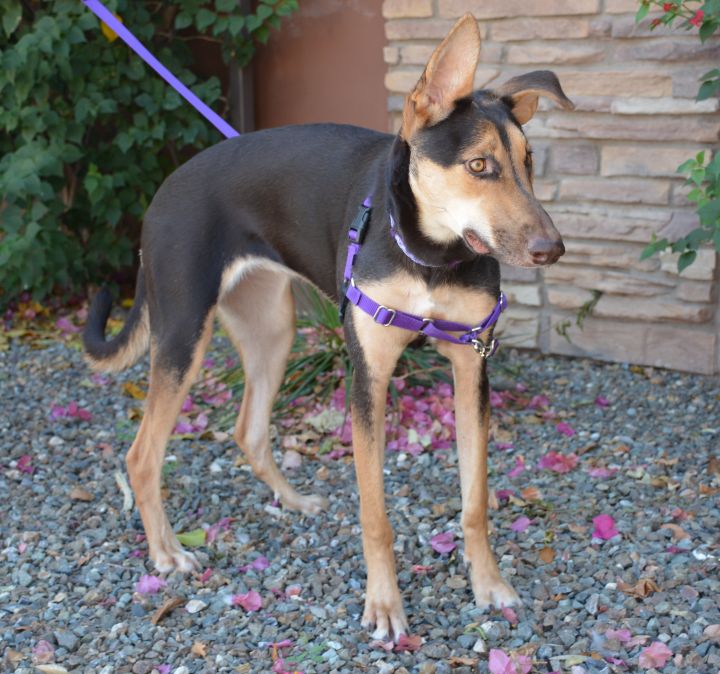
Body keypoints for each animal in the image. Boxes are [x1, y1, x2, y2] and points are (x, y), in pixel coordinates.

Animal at [81, 13, 572, 636]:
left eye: (528, 162)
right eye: (479, 165)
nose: (552, 249)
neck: (428, 256)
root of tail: (164, 188)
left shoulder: (471, 367)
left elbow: (476, 501)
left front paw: (488, 584)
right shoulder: (368, 377)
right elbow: (375, 513)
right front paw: (384, 604)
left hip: (273, 330)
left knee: (248, 430)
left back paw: (292, 502)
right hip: (183, 332)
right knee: (141, 456)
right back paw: (167, 552)